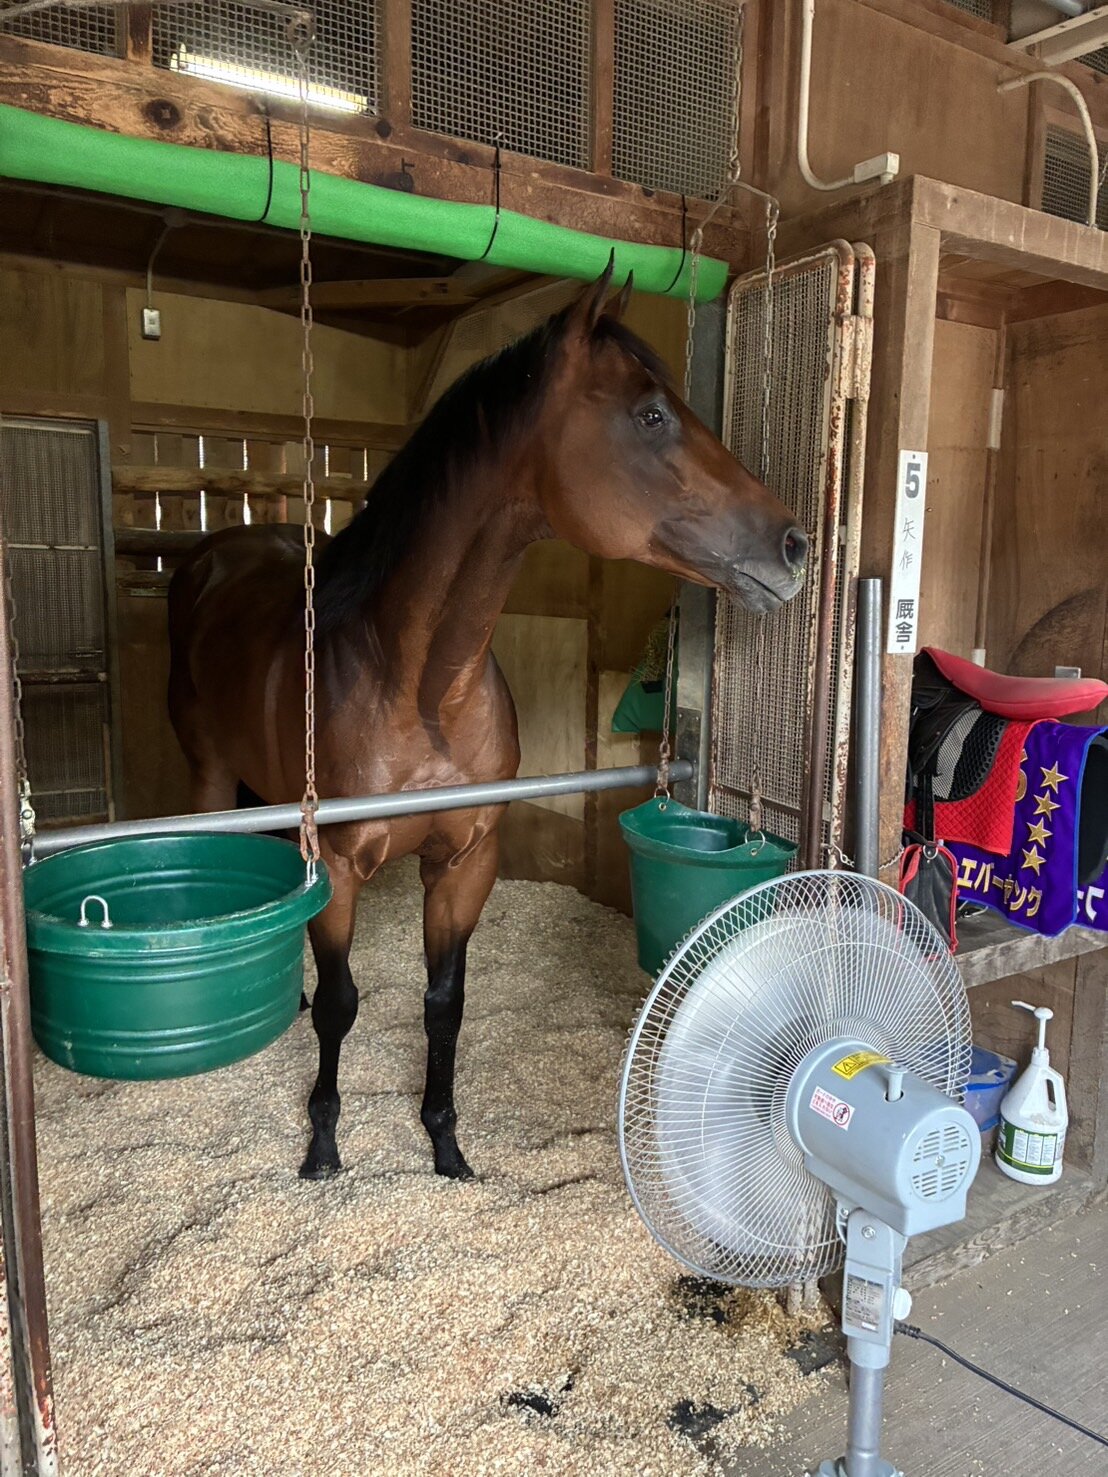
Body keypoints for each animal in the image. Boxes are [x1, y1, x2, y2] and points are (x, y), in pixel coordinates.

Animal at [167, 265, 808, 1182]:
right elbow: (342, 1003)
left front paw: (445, 1140)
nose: (793, 545)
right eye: (652, 414)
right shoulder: (341, 864)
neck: (419, 687)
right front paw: (323, 1142)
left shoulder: (466, 858)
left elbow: (446, 1001)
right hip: (214, 777)